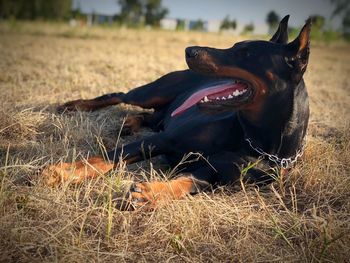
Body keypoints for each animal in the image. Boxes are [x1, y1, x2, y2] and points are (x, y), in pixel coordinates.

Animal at [43, 16, 308, 210]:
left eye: (245, 54)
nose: (189, 50)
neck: (256, 140)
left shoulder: (218, 175)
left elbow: (188, 183)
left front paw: (149, 194)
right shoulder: (166, 139)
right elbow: (108, 158)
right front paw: (65, 172)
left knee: (150, 117)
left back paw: (129, 124)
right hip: (151, 92)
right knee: (118, 95)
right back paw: (74, 105)